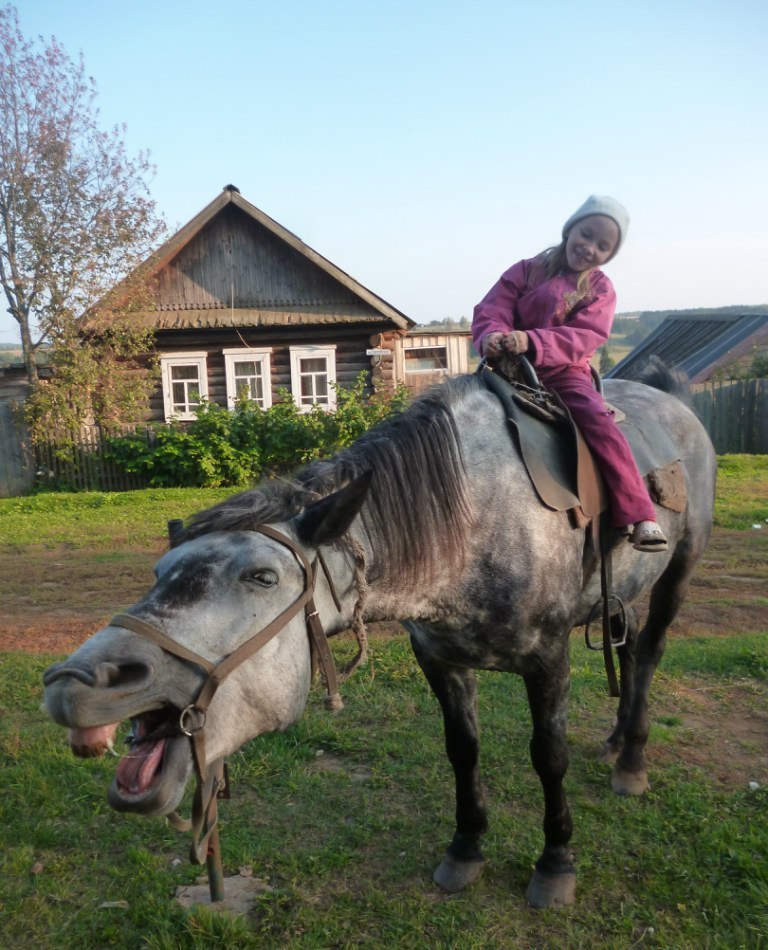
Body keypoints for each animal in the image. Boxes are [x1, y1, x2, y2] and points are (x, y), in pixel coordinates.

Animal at [43, 362, 712, 908]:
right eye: (158, 573)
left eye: (262, 577)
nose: (75, 682)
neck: (475, 520)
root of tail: (674, 400)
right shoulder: (439, 658)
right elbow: (462, 750)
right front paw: (465, 849)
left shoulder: (549, 659)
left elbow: (549, 757)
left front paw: (555, 864)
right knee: (628, 646)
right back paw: (616, 740)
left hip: (679, 570)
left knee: (649, 652)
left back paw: (631, 760)